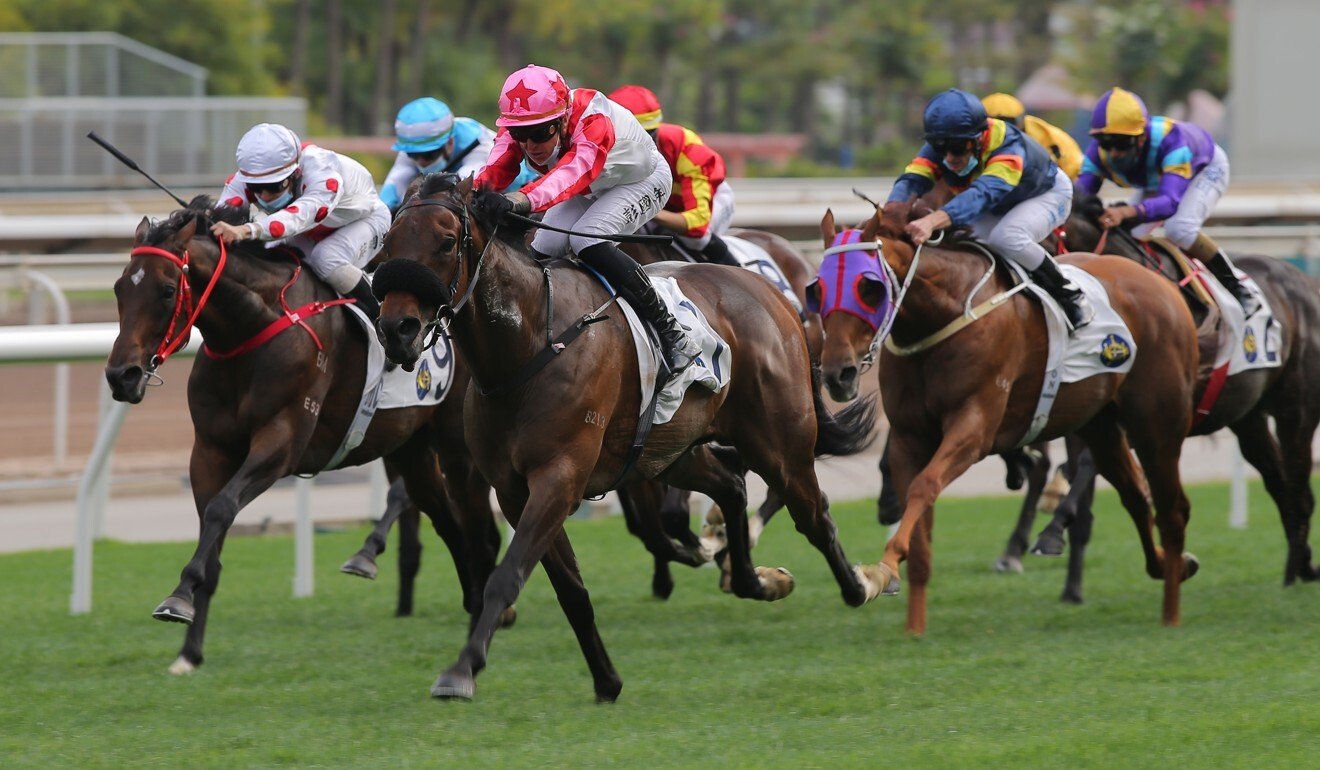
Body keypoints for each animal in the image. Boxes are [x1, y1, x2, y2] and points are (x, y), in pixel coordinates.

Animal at [105, 200, 498, 676]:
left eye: (165, 290)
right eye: (119, 288)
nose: (121, 376)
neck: (254, 328)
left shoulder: (282, 442)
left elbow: (221, 509)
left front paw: (178, 597)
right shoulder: (209, 452)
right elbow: (211, 536)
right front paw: (188, 651)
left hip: (458, 451)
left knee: (474, 528)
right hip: (411, 451)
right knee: (447, 522)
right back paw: (474, 602)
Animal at [377, 175, 881, 702]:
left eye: (446, 242)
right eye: (387, 244)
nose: (396, 329)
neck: (530, 342)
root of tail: (773, 292)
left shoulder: (559, 479)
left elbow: (506, 576)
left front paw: (461, 670)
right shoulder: (515, 490)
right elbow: (571, 590)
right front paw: (606, 679)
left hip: (780, 444)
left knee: (814, 515)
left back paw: (860, 583)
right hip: (670, 452)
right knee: (732, 487)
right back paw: (757, 580)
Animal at [807, 203, 1203, 633]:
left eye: (869, 288)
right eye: (818, 290)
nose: (837, 374)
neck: (941, 317)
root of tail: (1165, 286)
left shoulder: (973, 426)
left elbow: (925, 486)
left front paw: (881, 571)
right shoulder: (909, 437)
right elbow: (921, 530)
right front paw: (913, 625)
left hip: (1157, 425)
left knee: (1173, 509)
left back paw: (1172, 612)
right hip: (1101, 427)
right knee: (1136, 498)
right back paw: (1172, 566)